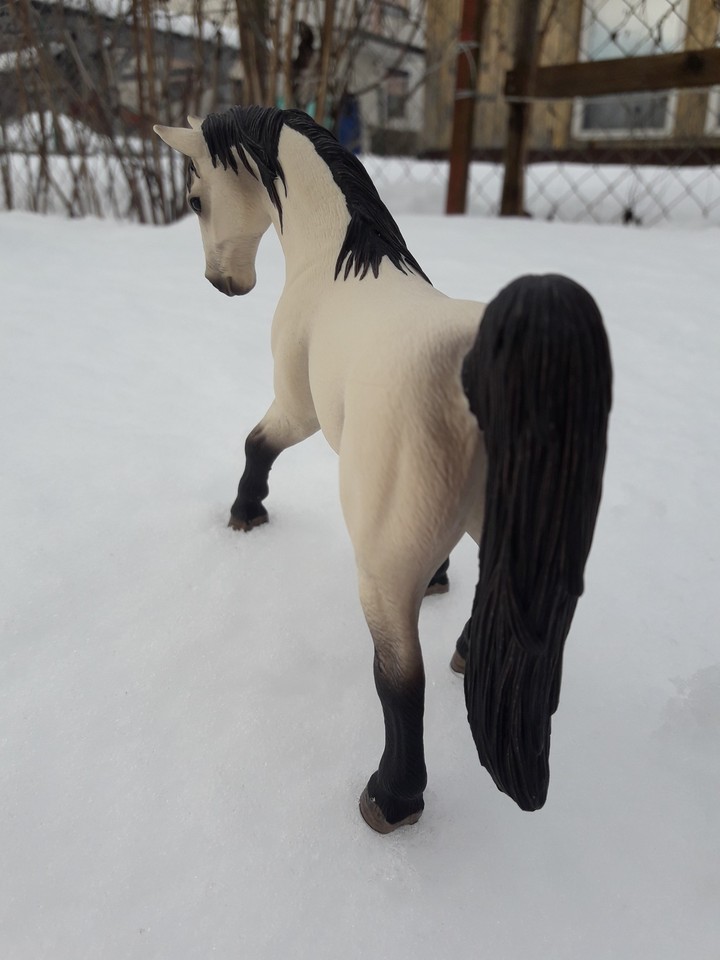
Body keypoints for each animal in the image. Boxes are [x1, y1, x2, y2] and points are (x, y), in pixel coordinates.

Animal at [154, 106, 612, 834]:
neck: (333, 263)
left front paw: (246, 513)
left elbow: (257, 444)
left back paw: (390, 799)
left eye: (197, 199)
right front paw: (440, 577)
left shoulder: (299, 409)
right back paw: (464, 653)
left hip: (378, 573)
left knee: (402, 679)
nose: (221, 283)